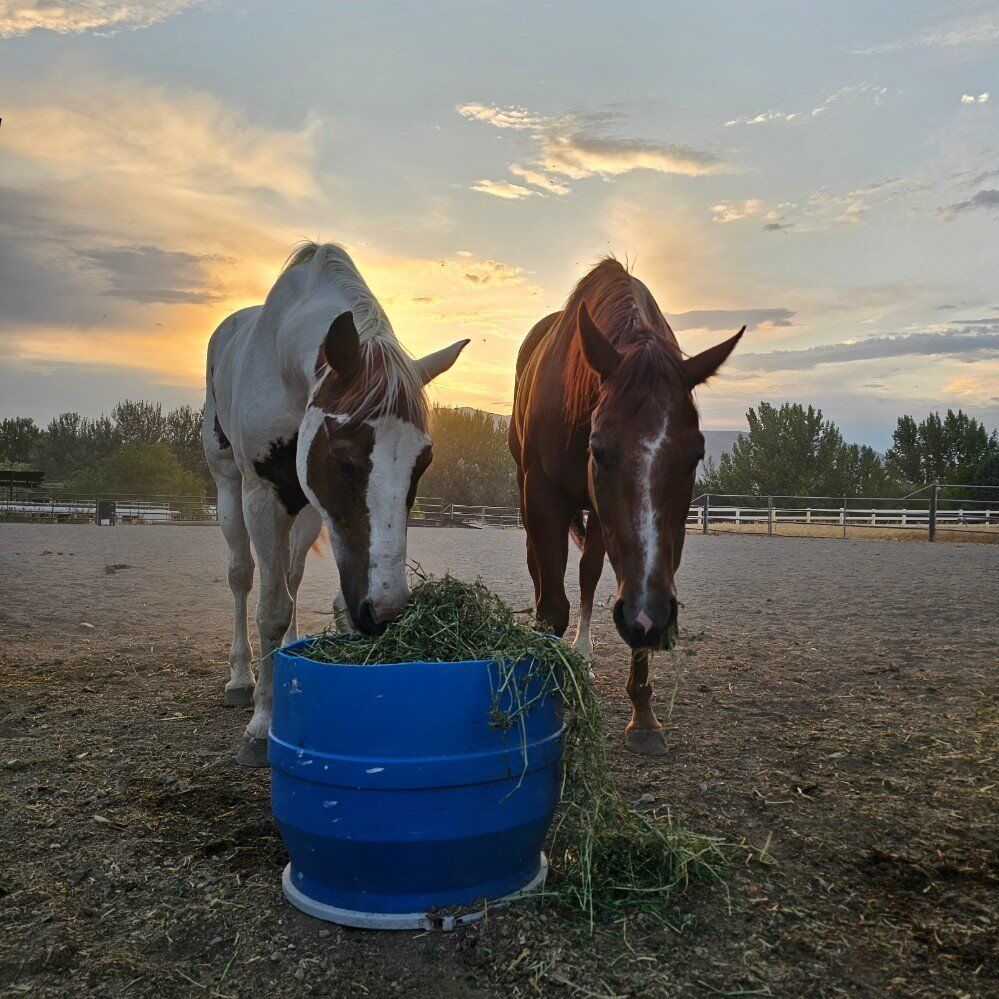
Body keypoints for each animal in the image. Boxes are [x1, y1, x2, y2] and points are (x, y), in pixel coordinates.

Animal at [203, 242, 469, 767]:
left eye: (423, 463)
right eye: (344, 459)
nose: (384, 612)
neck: (284, 360)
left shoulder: (310, 504)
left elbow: (289, 592)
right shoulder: (260, 497)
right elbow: (269, 607)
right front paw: (261, 725)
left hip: (305, 511)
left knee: (290, 574)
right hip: (229, 486)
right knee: (242, 576)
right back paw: (241, 679)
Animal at [509, 258, 743, 756]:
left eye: (695, 455)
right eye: (599, 450)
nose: (645, 618)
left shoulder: (664, 534)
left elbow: (625, 588)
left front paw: (643, 715)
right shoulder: (542, 497)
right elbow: (551, 605)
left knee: (590, 575)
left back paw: (584, 654)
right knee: (541, 569)